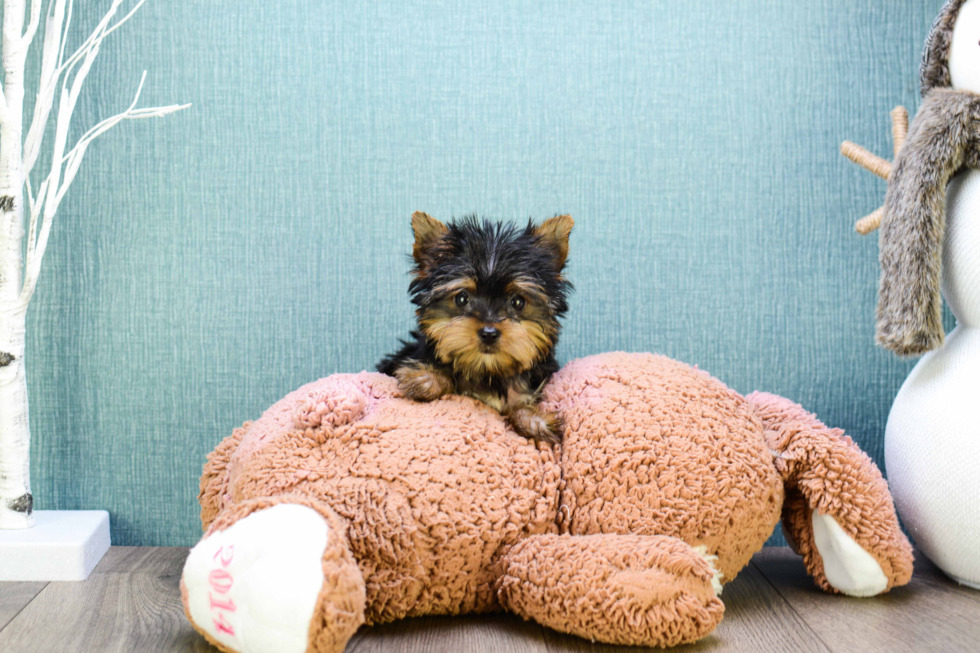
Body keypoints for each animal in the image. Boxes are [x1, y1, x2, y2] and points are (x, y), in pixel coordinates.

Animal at [378, 211, 576, 440]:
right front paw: (426, 379)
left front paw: (534, 420)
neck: (487, 370)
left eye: (518, 302)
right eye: (462, 298)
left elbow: (519, 405)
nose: (489, 333)